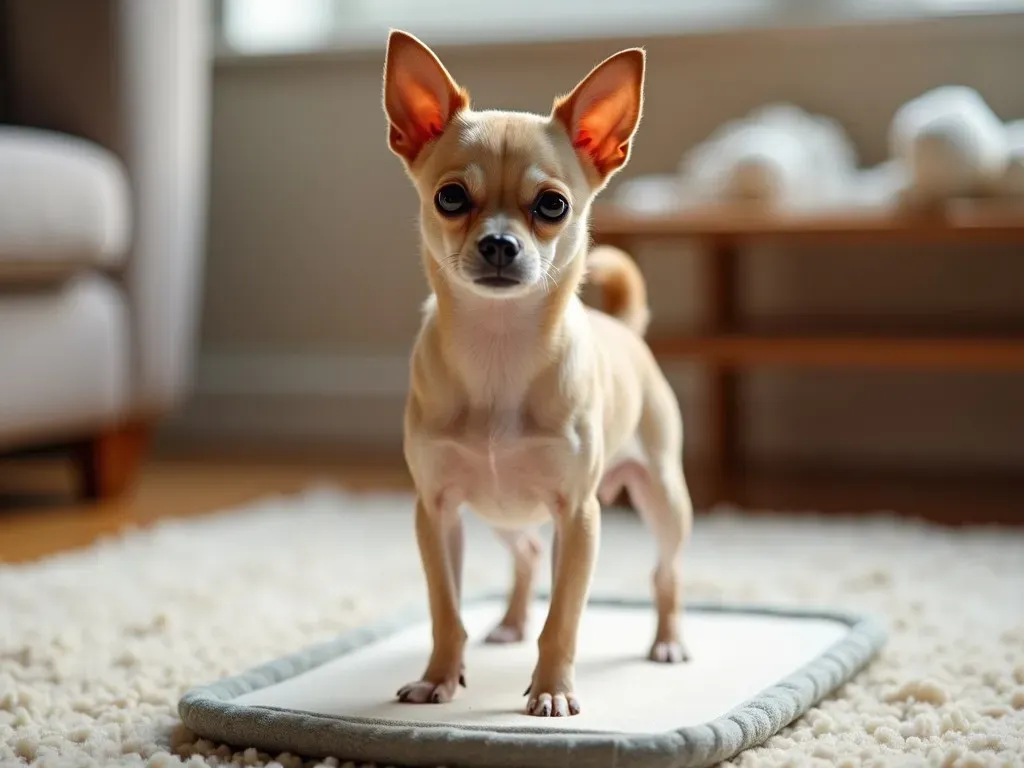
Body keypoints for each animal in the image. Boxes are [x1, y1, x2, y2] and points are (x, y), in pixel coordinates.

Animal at [385, 27, 696, 720]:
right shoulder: (436, 512)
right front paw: (439, 677)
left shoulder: (578, 518)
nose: (500, 244)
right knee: (526, 552)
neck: (499, 348)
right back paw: (507, 622)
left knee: (664, 573)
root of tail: (625, 330)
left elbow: (566, 617)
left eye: (553, 205)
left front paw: (552, 687)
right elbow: (445, 609)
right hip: (497, 512)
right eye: (450, 197)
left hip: (664, 499)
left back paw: (667, 640)